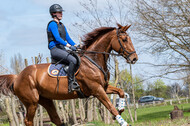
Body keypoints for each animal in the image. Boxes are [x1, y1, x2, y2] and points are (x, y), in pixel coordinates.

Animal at [0, 23, 137, 126]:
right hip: (31, 102)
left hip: (45, 99)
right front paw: (123, 122)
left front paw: (121, 108)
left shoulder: (104, 87)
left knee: (55, 119)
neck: (93, 60)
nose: (134, 58)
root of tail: (17, 77)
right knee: (28, 121)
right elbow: (111, 107)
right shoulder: (97, 90)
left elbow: (121, 92)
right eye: (124, 40)